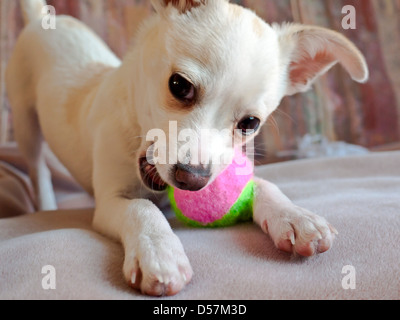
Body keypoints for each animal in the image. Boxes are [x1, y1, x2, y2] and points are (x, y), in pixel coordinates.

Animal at [7, 0, 368, 296]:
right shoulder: (110, 202)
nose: (192, 181)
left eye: (250, 123)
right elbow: (141, 208)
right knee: (37, 166)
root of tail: (44, 20)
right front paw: (159, 252)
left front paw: (295, 216)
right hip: (25, 122)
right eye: (179, 86)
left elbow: (263, 185)